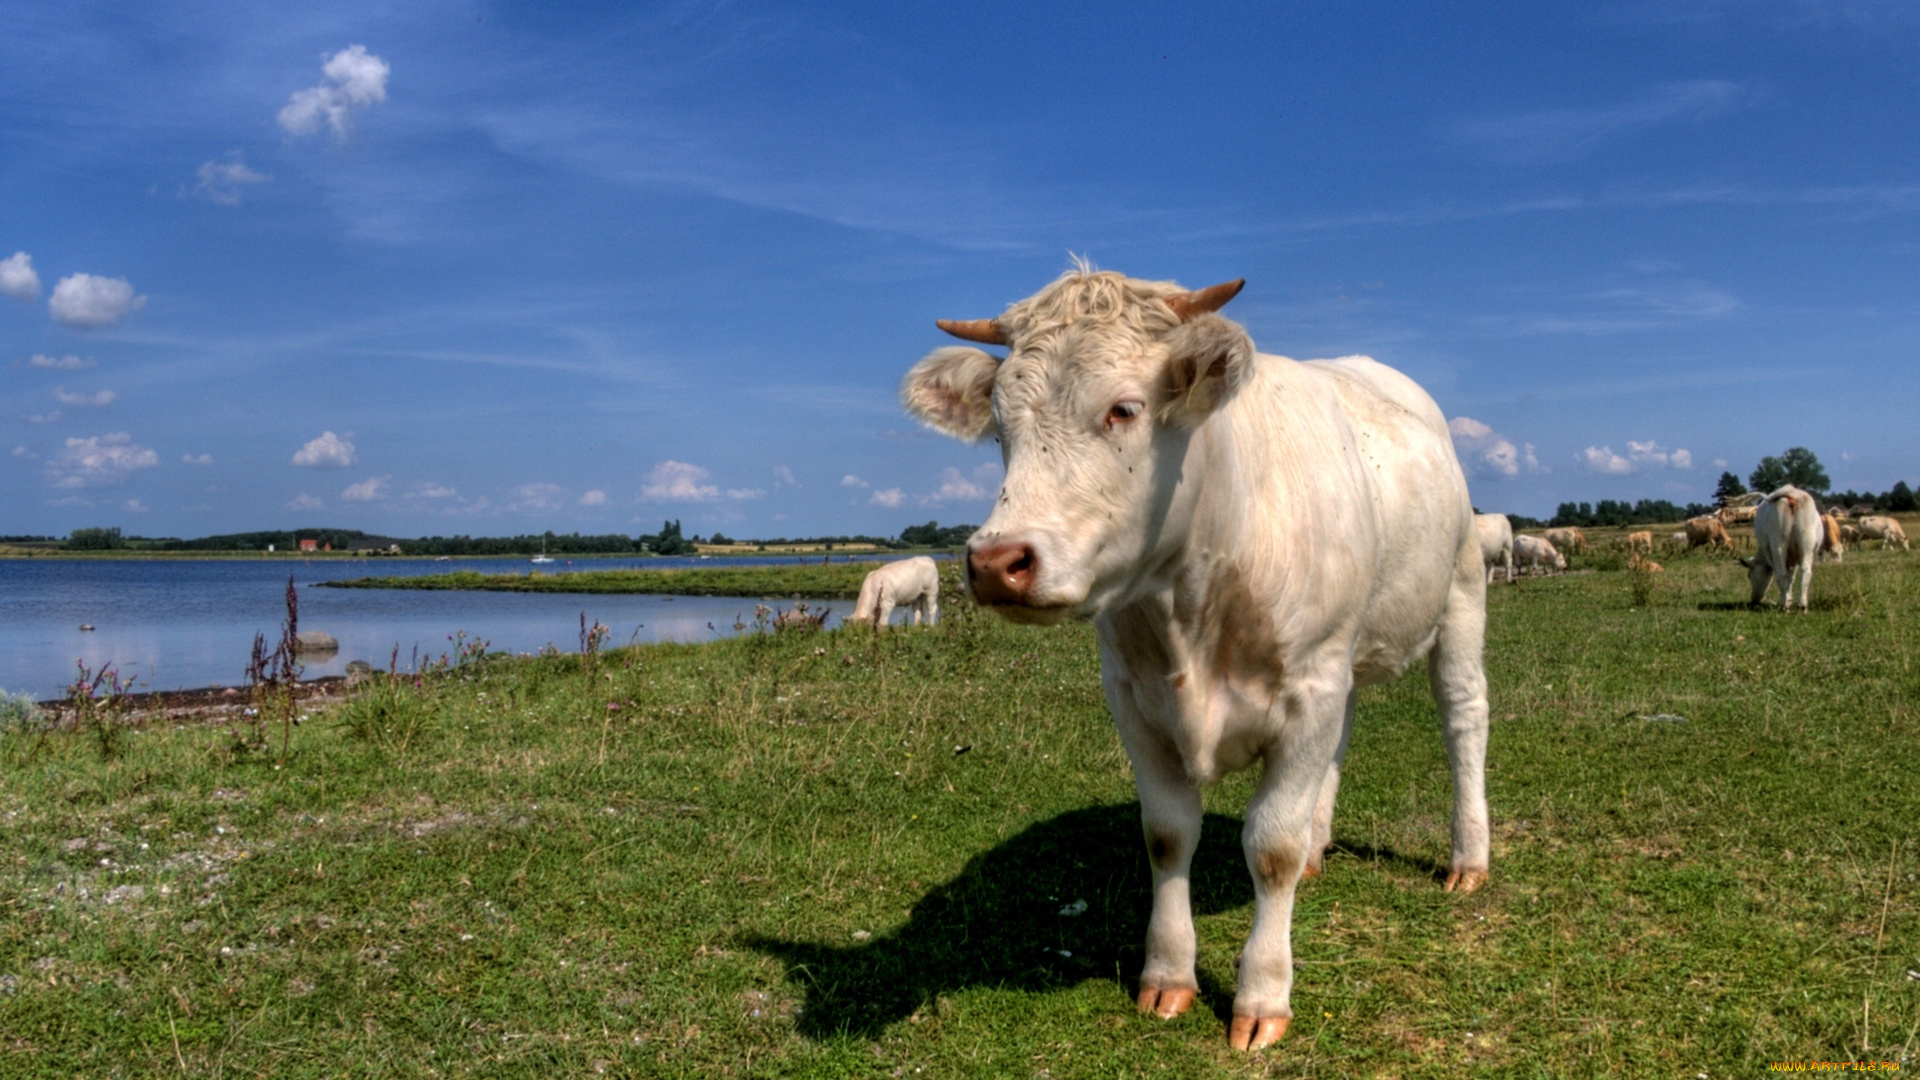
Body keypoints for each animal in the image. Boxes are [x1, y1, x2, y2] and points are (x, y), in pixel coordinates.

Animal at [901, 269, 1490, 1052]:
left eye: (1123, 409)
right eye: (1000, 428)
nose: (997, 562)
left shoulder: (1309, 685)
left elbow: (1270, 845)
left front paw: (1263, 995)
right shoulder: (1132, 696)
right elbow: (1167, 834)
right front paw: (1168, 975)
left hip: (1460, 592)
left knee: (1463, 721)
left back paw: (1468, 858)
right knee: (1343, 736)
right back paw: (1321, 849)